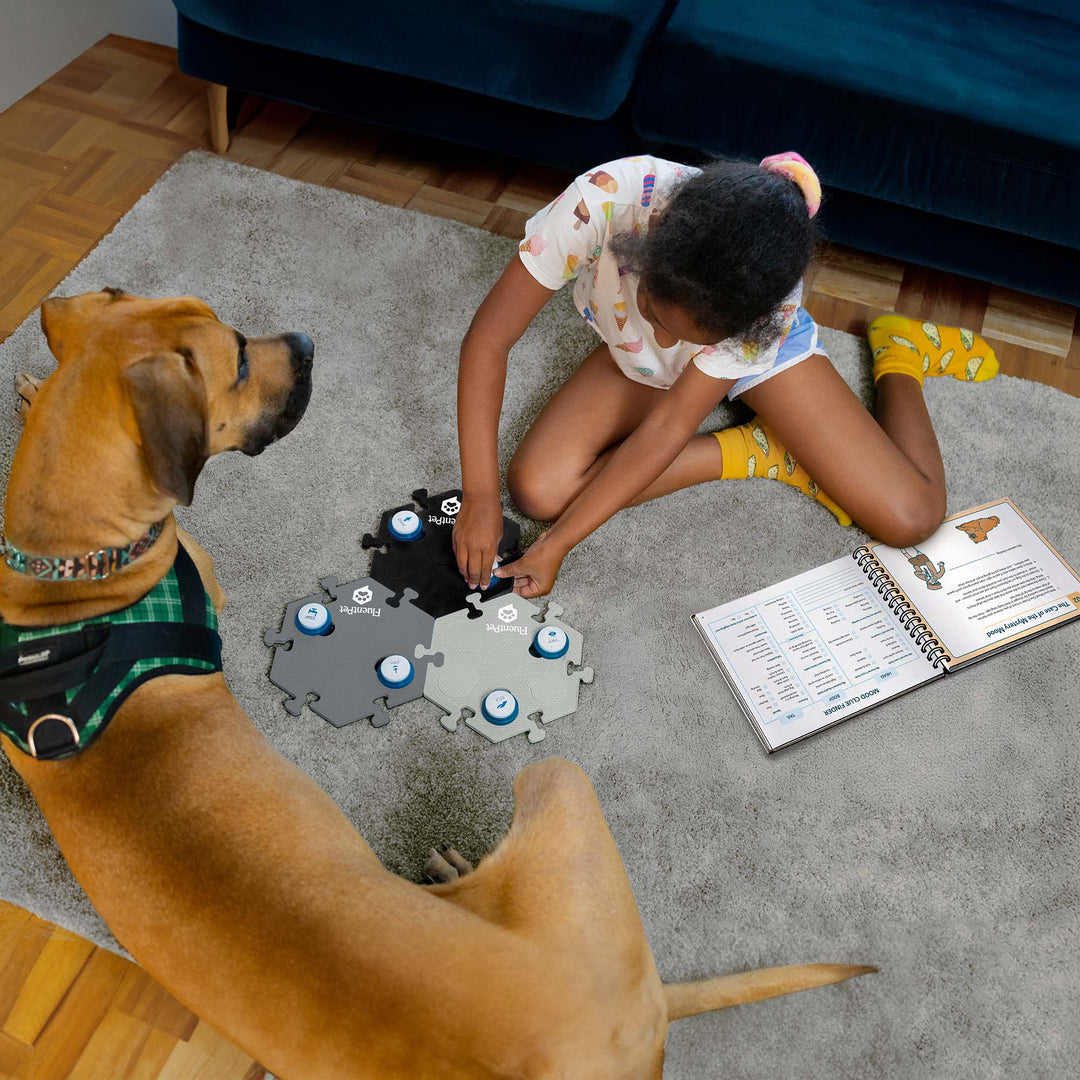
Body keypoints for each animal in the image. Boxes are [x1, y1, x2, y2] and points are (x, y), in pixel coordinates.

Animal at [0, 289, 872, 1080]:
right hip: (556, 777)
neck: (62, 573)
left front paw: (33, 391)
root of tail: (649, 1006)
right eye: (239, 358)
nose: (309, 340)